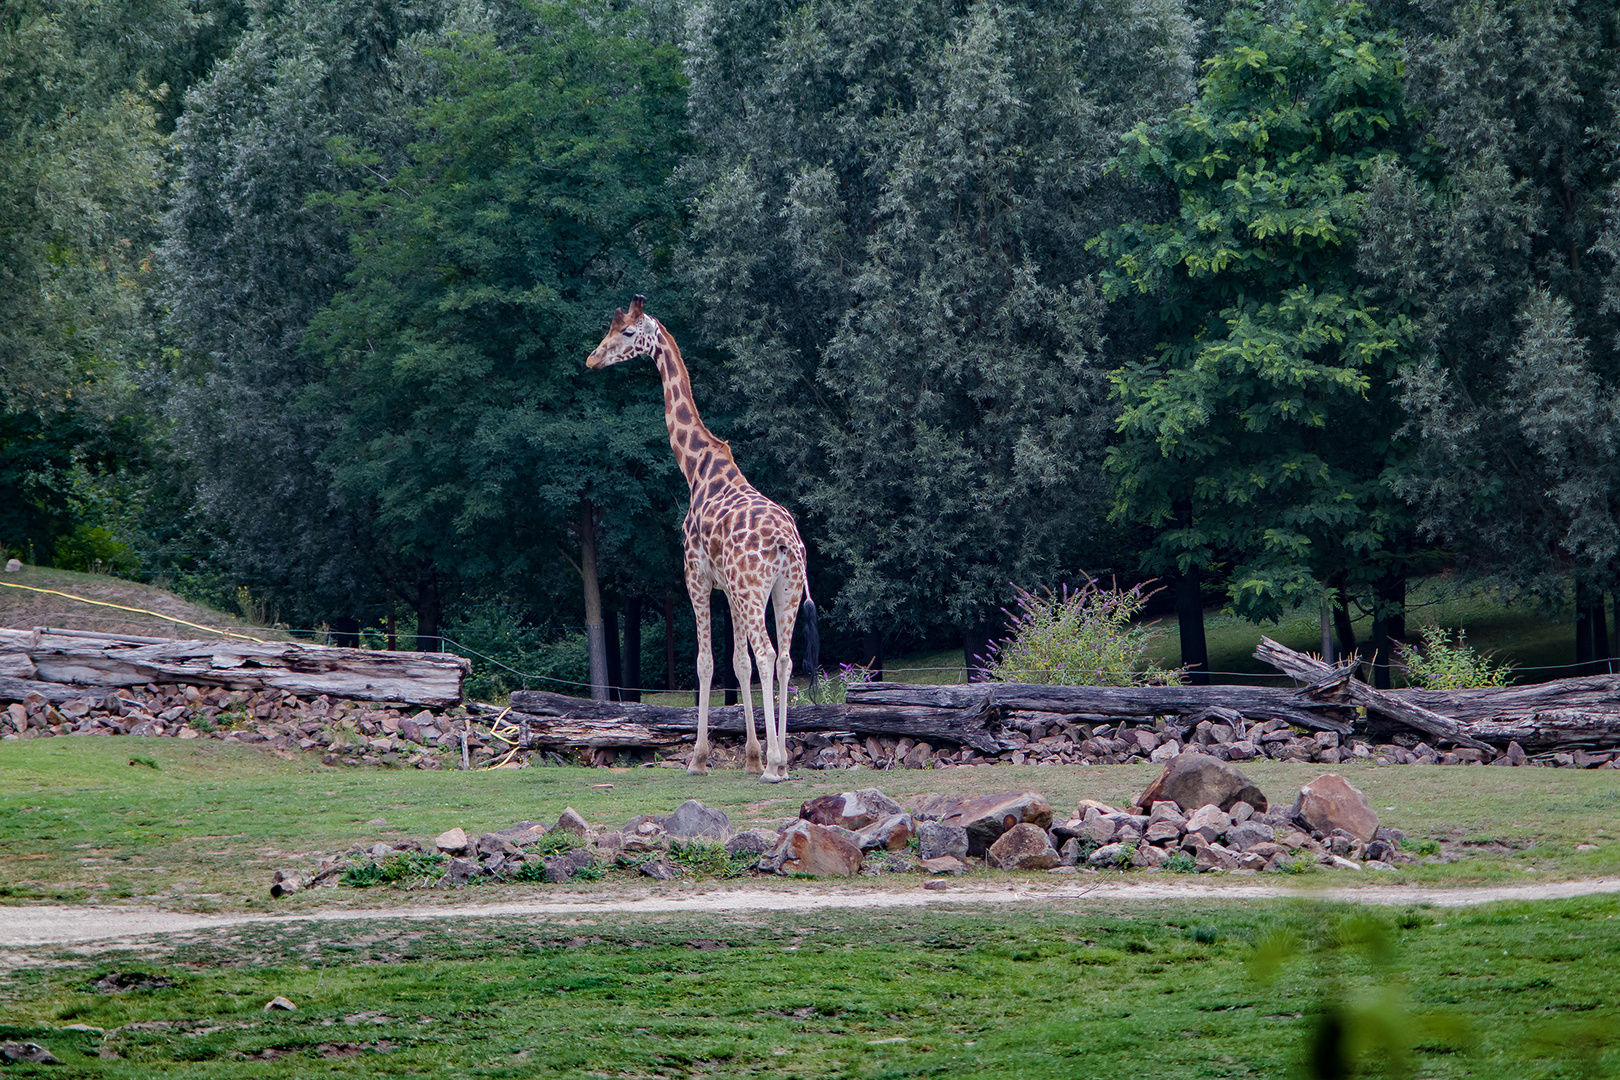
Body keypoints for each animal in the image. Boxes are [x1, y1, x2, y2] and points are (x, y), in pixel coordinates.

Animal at [583, 297, 816, 786]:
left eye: (628, 332)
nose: (593, 358)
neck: (698, 470)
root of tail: (786, 542)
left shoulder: (695, 576)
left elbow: (706, 663)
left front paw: (700, 758)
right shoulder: (728, 589)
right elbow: (738, 664)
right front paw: (749, 756)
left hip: (755, 589)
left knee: (768, 654)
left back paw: (775, 767)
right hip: (783, 589)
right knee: (785, 659)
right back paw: (782, 761)